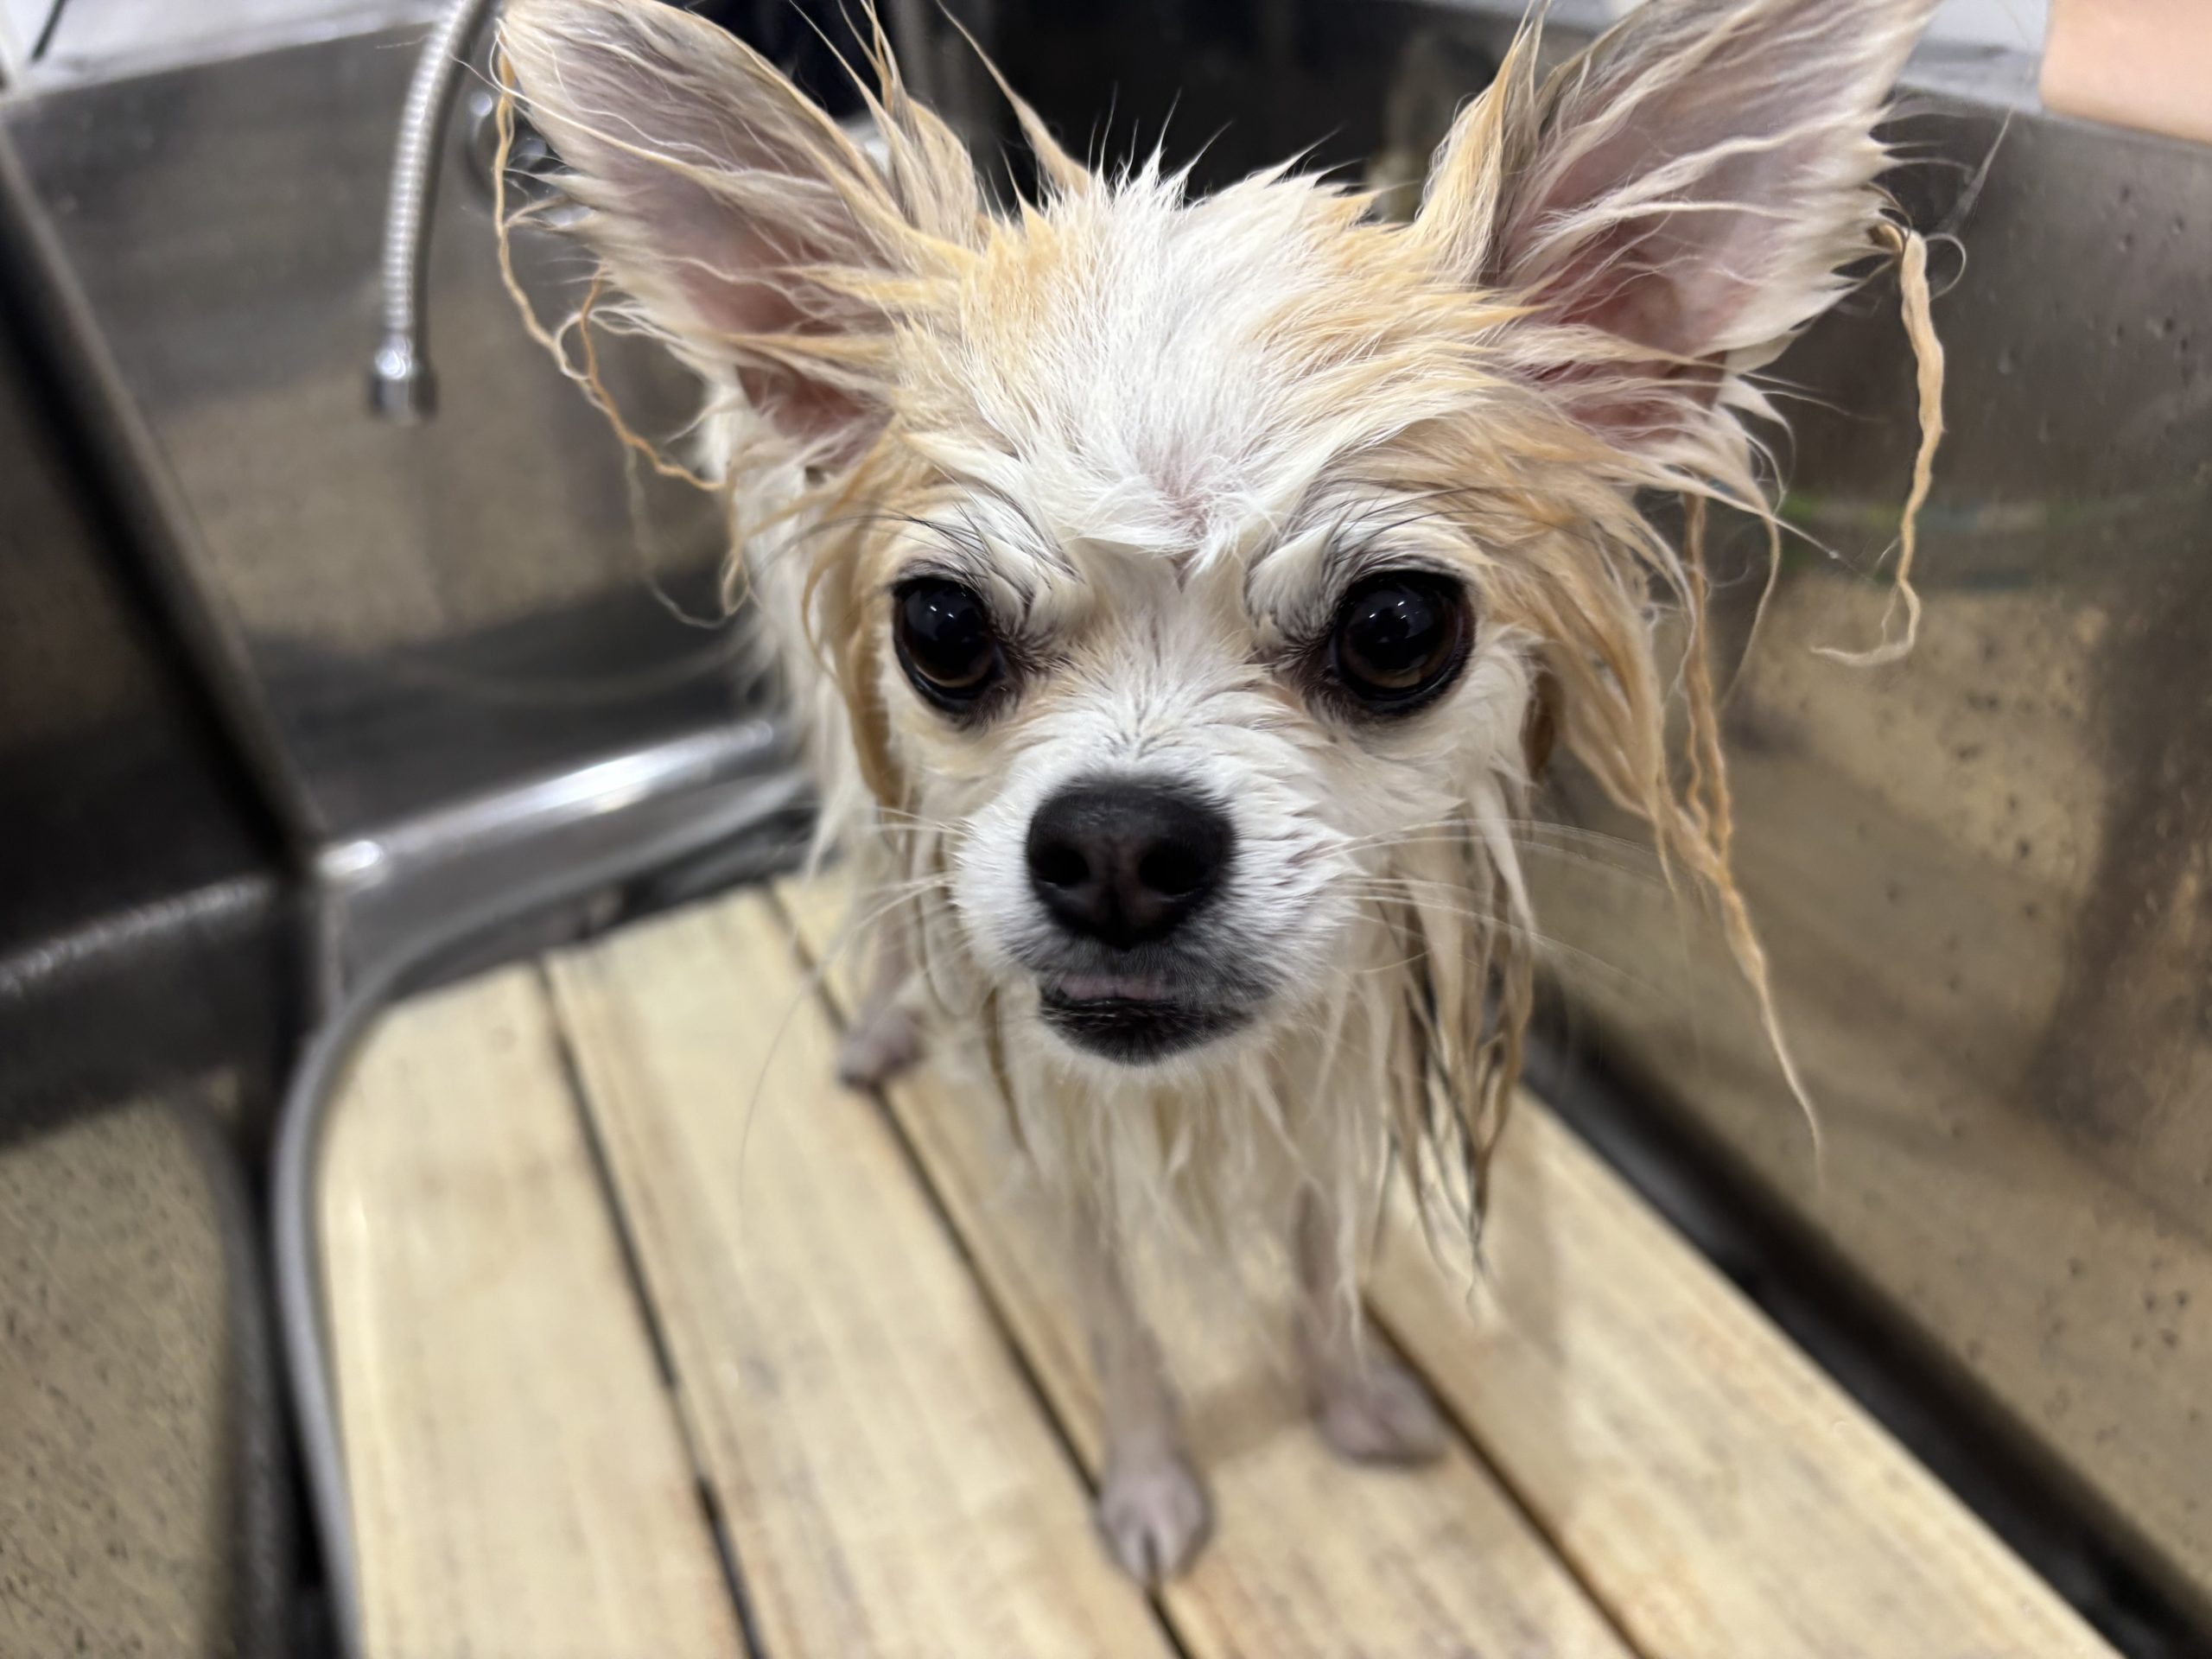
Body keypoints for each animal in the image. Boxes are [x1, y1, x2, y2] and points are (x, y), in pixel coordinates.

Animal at [501, 0, 1939, 1583]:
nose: (1120, 847)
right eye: (941, 627)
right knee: (882, 889)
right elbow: (1120, 1327)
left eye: (1396, 628)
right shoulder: (1049, 1126)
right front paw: (1147, 1479)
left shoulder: (1331, 1054)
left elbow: (1315, 1258)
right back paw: (879, 1023)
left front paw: (1344, 1396)